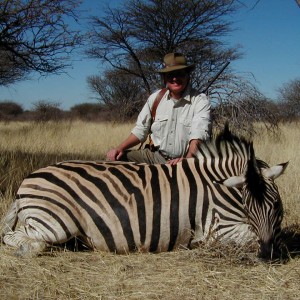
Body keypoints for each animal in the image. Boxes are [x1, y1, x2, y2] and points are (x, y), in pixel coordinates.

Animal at [0, 125, 288, 258]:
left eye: (275, 206)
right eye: (247, 206)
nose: (266, 254)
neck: (218, 187)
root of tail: (27, 180)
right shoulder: (219, 226)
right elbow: (248, 236)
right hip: (55, 222)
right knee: (15, 237)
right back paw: (26, 250)